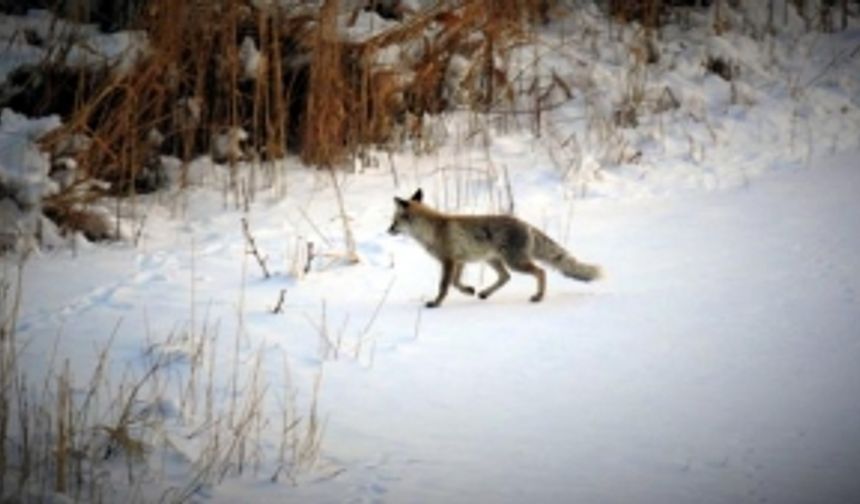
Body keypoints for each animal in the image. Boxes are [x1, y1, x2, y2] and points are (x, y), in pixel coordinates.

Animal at [386, 189, 600, 308]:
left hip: (515, 262)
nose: (387, 230)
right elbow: (456, 283)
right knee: (506, 277)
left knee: (541, 272)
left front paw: (436, 303)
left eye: (394, 221)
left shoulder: (449, 261)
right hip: (494, 260)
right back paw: (484, 293)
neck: (433, 230)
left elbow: (444, 286)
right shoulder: (459, 261)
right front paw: (468, 290)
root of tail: (526, 224)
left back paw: (538, 297)